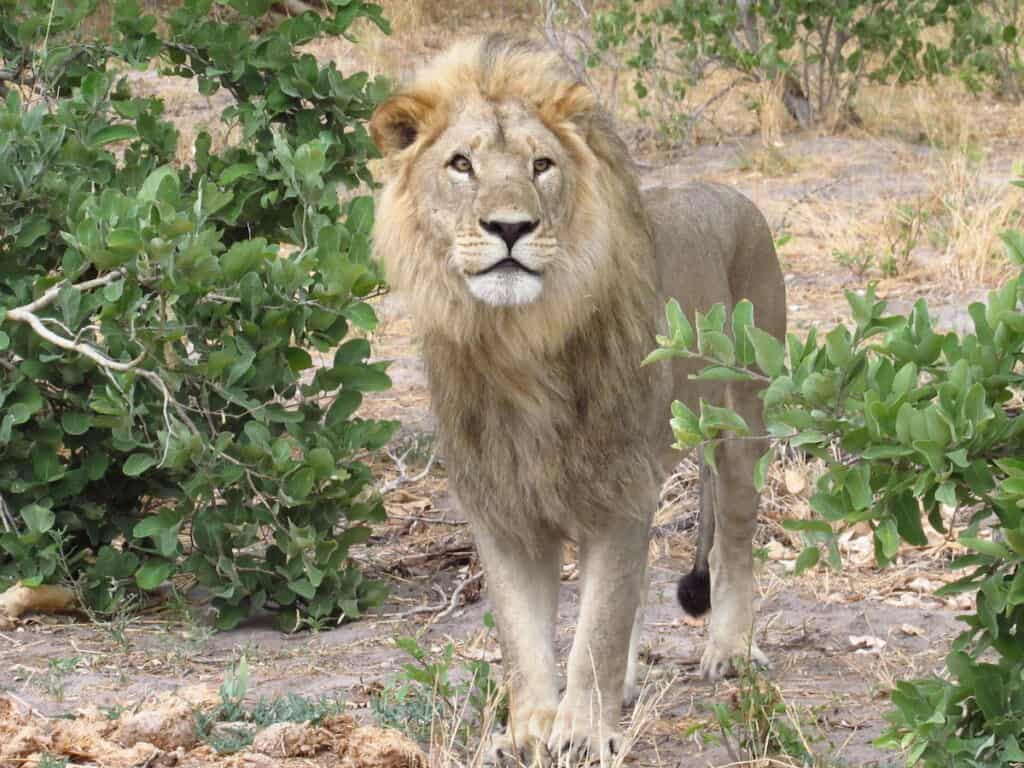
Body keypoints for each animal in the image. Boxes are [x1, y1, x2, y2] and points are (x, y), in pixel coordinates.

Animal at [369, 35, 787, 764]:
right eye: (460, 165)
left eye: (542, 165)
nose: (510, 227)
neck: (516, 347)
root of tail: (730, 190)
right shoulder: (500, 506)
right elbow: (522, 635)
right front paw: (529, 731)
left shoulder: (619, 491)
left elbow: (598, 628)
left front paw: (585, 732)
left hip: (741, 430)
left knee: (732, 543)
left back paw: (730, 652)